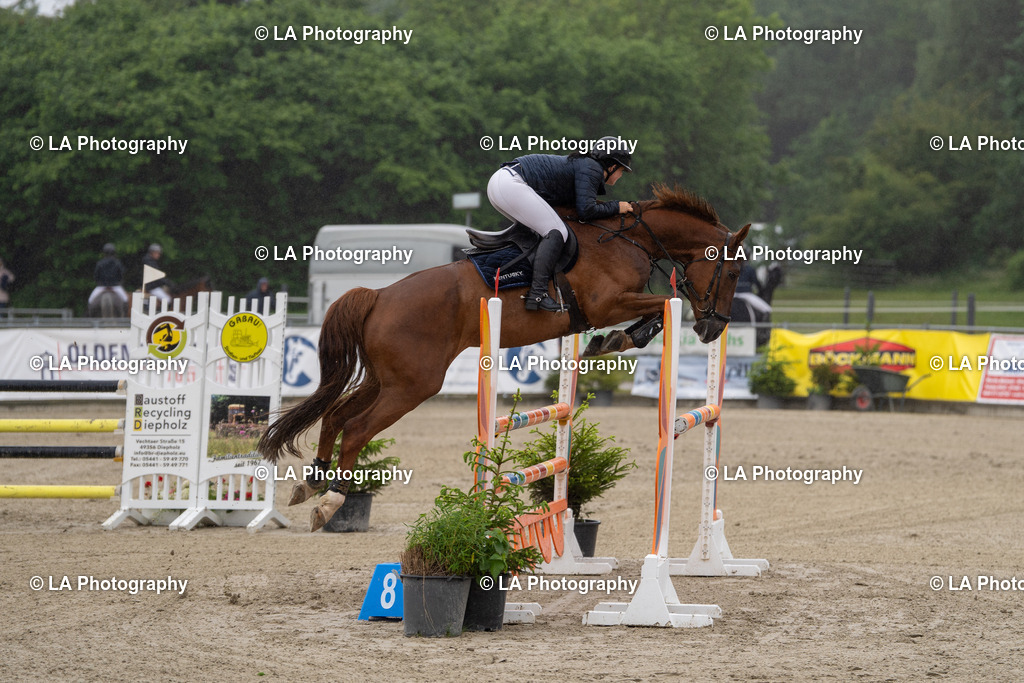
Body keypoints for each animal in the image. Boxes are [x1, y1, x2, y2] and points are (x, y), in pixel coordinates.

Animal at [257, 184, 751, 531]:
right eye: (733, 271)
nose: (714, 329)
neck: (629, 239)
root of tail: (379, 295)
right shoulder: (606, 304)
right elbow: (665, 305)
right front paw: (613, 341)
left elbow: (660, 310)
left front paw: (608, 343)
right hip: (414, 384)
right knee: (357, 428)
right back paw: (331, 500)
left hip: (387, 379)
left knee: (337, 416)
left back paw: (312, 481)